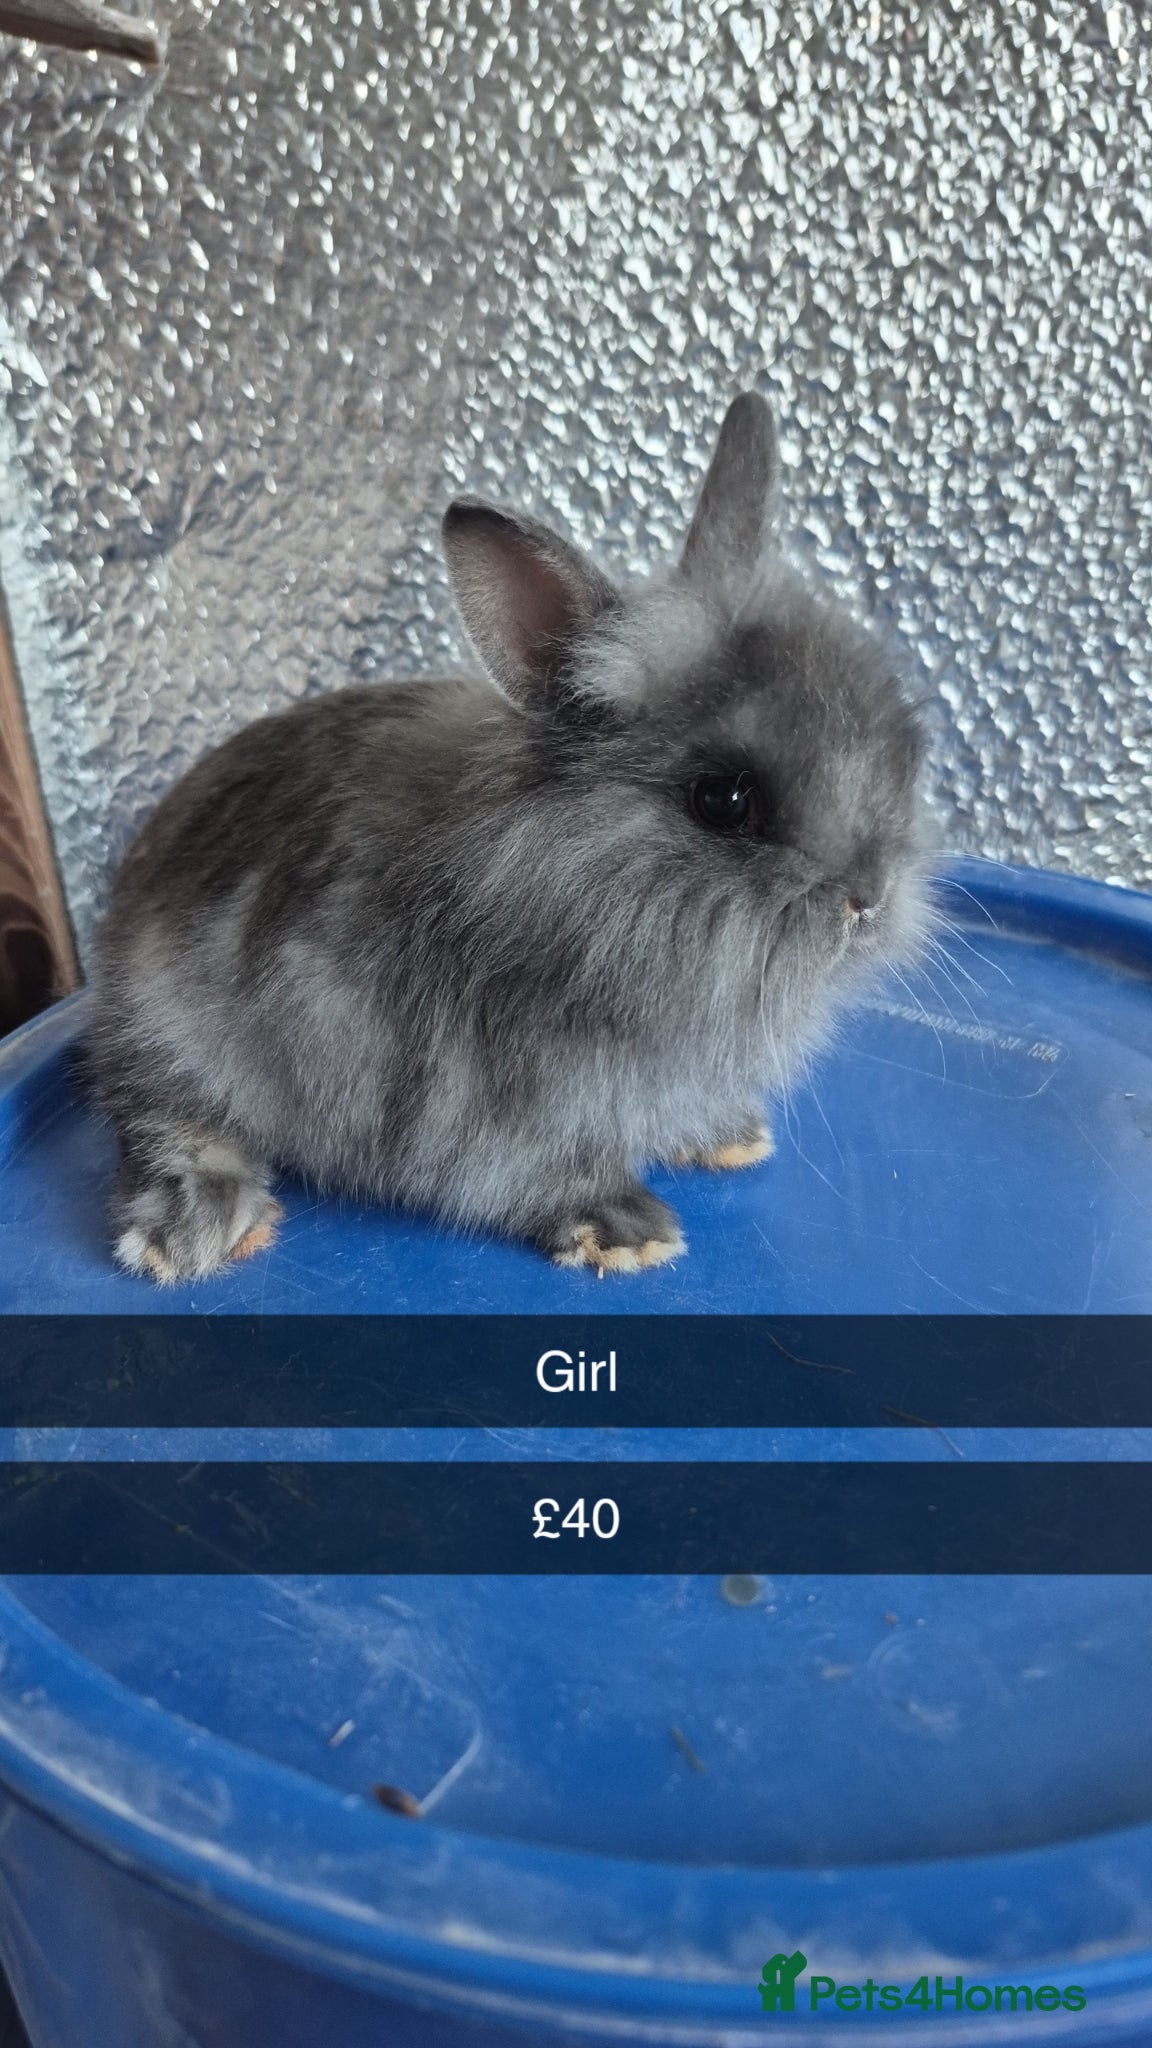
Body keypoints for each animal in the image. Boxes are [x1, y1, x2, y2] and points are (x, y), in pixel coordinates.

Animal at [88, 391, 931, 1282]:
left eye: (900, 742)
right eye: (725, 800)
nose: (868, 899)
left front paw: (729, 1136)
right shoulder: (479, 1108)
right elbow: (529, 1175)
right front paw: (627, 1231)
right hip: (170, 1031)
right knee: (162, 1123)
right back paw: (199, 1235)